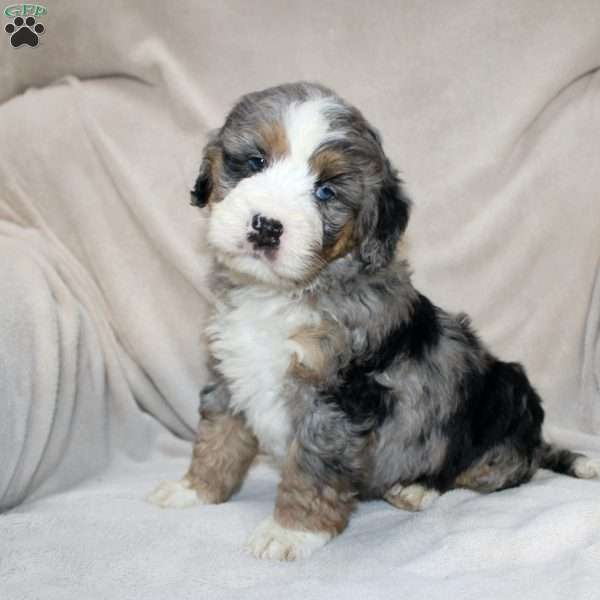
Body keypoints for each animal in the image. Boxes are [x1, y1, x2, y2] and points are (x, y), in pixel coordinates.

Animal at [146, 82, 596, 560]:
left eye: (325, 191)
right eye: (255, 162)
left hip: (503, 396)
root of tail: (535, 441)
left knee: (485, 469)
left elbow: (311, 468)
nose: (266, 226)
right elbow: (219, 438)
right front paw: (193, 490)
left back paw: (417, 488)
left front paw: (291, 531)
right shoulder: (229, 372)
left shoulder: (338, 399)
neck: (284, 293)